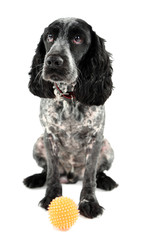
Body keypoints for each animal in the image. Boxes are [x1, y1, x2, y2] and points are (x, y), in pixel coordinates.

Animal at [23, 17, 117, 218]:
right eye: (50, 37)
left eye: (77, 38)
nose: (53, 60)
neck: (69, 97)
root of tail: (72, 176)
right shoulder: (49, 136)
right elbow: (51, 172)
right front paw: (51, 198)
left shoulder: (95, 138)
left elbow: (90, 176)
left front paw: (89, 202)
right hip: (38, 143)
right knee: (45, 169)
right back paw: (36, 179)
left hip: (107, 147)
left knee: (98, 172)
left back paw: (106, 181)